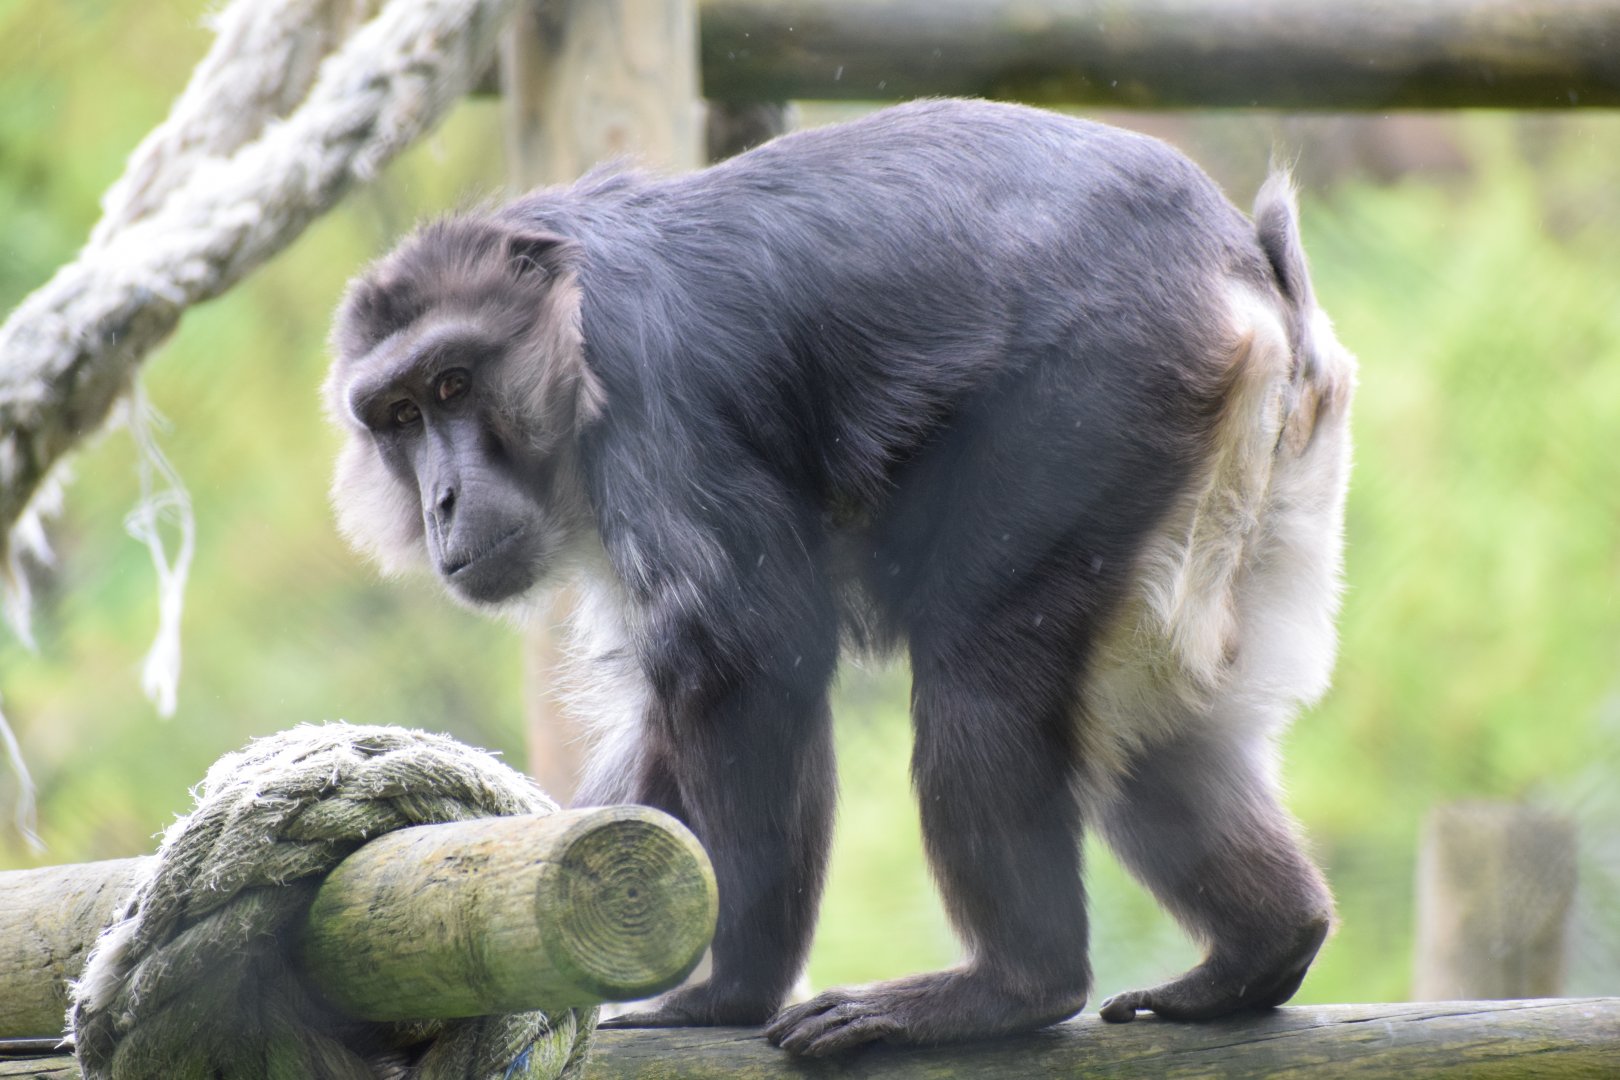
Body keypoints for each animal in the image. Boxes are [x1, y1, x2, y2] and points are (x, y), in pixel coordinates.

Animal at [324, 99, 1354, 1056]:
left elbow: (750, 659)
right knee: (1154, 732)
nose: (442, 498)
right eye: (400, 416)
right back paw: (1262, 950)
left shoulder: (649, 389)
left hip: (1102, 403)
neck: (570, 321)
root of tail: (1252, 281)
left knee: (979, 665)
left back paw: (1015, 986)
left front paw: (730, 994)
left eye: (453, 386)